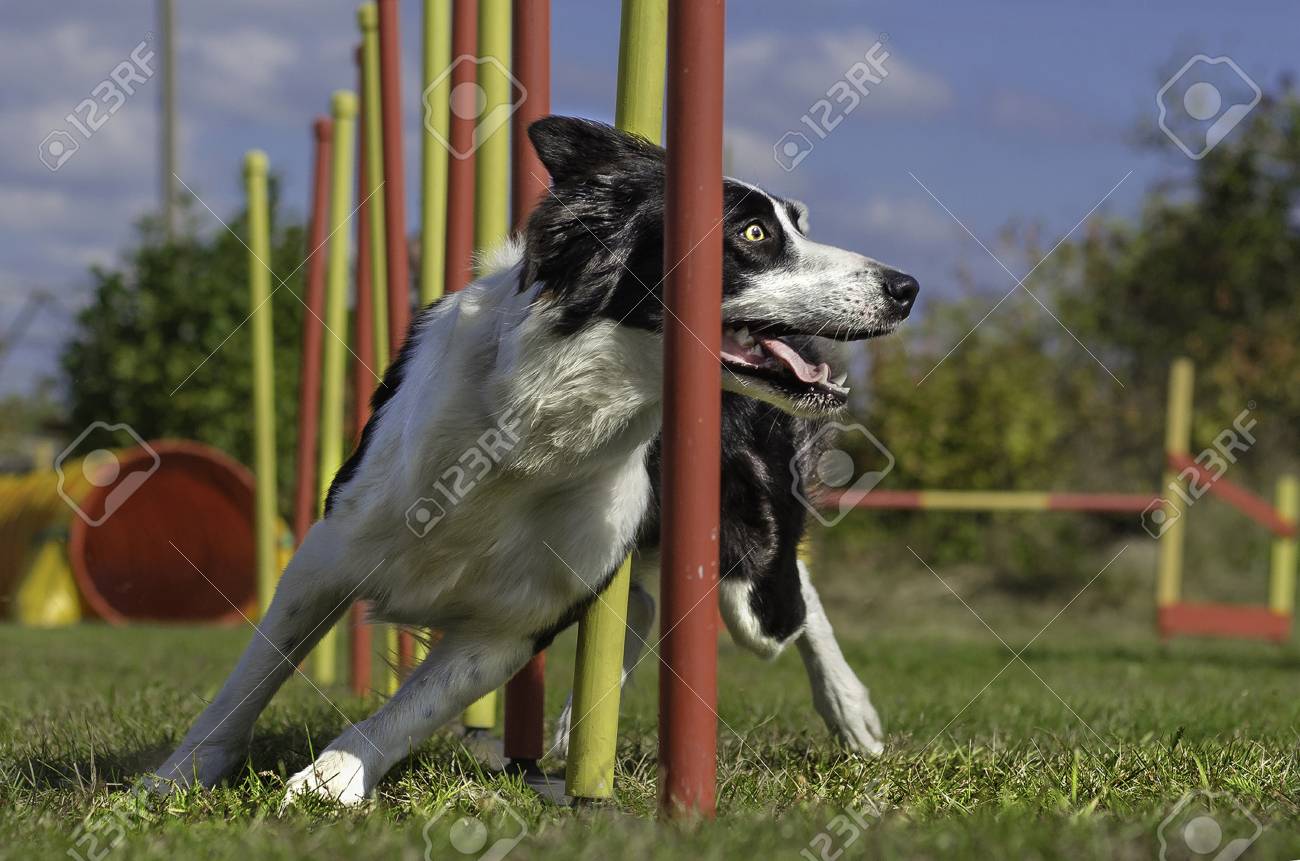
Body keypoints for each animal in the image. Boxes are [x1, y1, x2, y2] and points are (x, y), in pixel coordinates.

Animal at [152, 118, 915, 806]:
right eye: (754, 234)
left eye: (796, 224)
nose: (905, 287)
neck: (544, 425)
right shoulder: (329, 549)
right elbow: (251, 675)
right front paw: (176, 777)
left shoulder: (513, 623)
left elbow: (406, 712)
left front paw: (328, 783)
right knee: (648, 602)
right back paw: (581, 725)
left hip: (747, 572)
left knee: (790, 595)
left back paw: (850, 710)